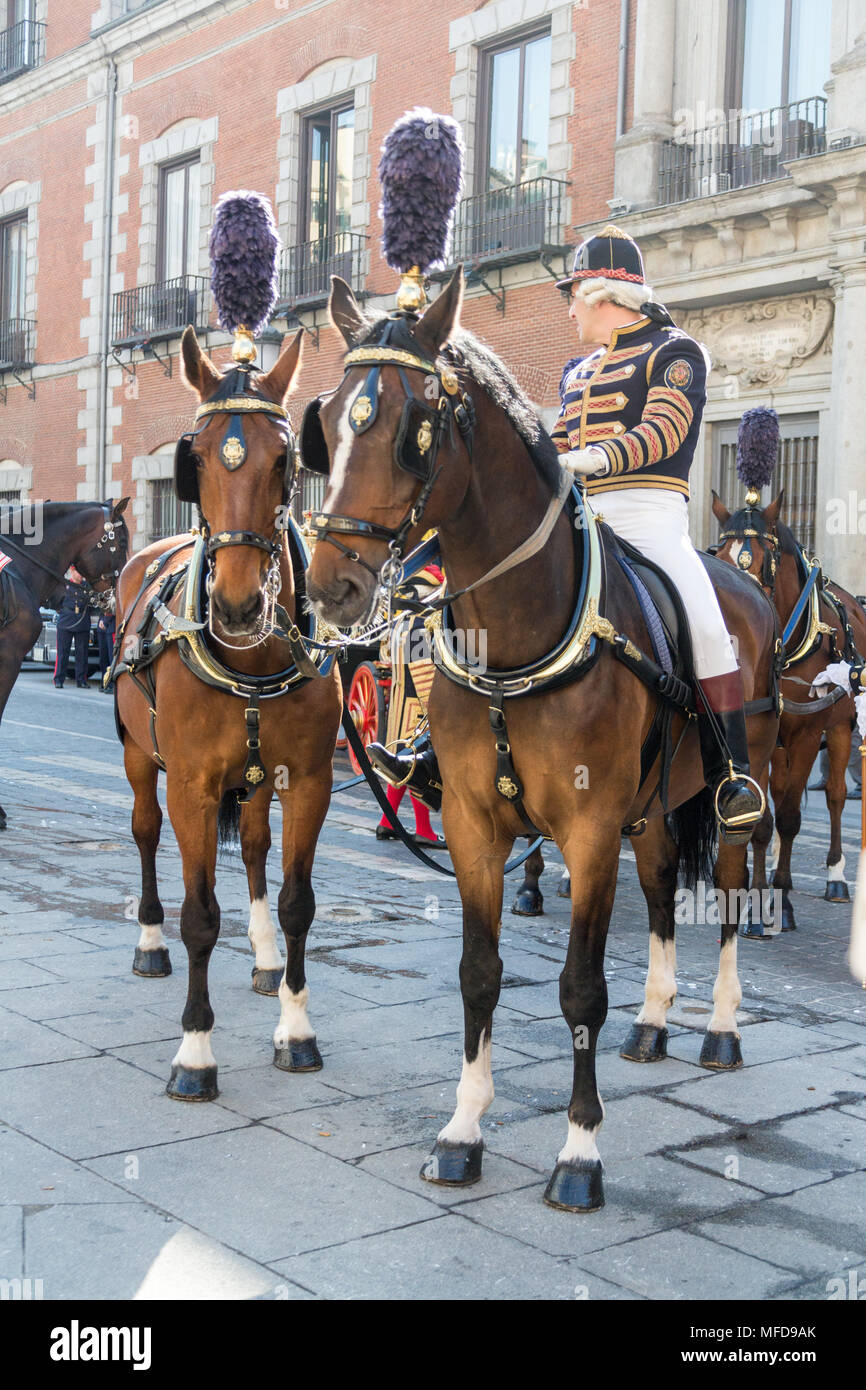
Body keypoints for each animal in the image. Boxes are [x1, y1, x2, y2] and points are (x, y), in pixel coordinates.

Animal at [114, 330, 341, 1100]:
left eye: (285, 460)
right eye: (199, 458)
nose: (239, 605)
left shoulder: (308, 780)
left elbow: (297, 899)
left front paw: (297, 1031)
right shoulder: (191, 785)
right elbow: (201, 916)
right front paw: (194, 1051)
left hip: (259, 778)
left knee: (252, 848)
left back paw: (267, 961)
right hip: (138, 756)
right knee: (145, 834)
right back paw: (150, 943)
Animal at [304, 268, 778, 1206]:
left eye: (413, 428)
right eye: (330, 416)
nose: (332, 586)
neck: (521, 631)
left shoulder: (589, 834)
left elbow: (581, 988)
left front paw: (580, 1152)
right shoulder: (475, 829)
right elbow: (479, 974)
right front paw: (462, 1131)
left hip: (732, 796)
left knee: (731, 892)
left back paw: (720, 1027)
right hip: (654, 809)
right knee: (663, 890)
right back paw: (654, 1022)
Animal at [717, 492, 861, 934]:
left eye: (764, 562)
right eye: (718, 557)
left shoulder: (806, 737)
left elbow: (792, 818)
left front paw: (779, 904)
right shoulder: (761, 735)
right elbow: (763, 819)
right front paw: (755, 903)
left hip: (841, 728)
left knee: (834, 796)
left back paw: (835, 877)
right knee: (782, 795)